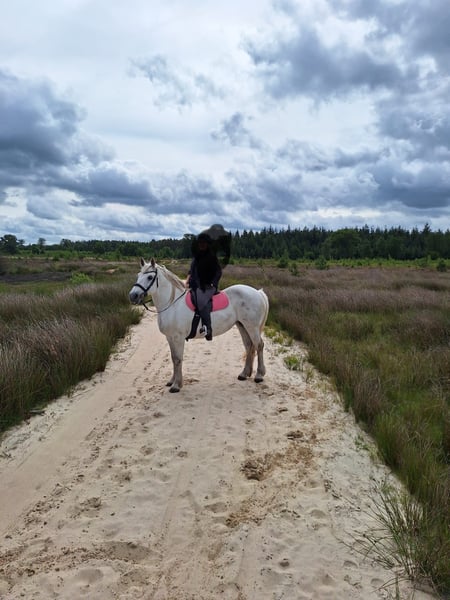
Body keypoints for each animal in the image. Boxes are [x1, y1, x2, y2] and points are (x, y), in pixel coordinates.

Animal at [129, 258, 269, 393]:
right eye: (138, 275)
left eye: (149, 277)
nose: (133, 296)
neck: (173, 304)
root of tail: (257, 293)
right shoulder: (170, 338)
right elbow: (173, 358)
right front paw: (172, 381)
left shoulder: (178, 338)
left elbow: (178, 359)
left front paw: (176, 385)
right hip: (242, 326)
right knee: (249, 346)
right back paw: (244, 374)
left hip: (252, 327)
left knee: (259, 345)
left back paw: (259, 375)